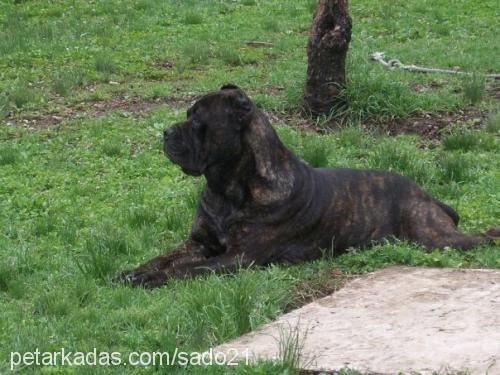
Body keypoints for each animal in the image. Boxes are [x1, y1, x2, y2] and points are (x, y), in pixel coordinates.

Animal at [116, 85, 496, 290]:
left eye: (198, 122)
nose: (166, 132)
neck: (229, 188)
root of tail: (427, 195)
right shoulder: (199, 243)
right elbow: (162, 258)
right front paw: (134, 273)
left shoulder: (239, 257)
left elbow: (186, 269)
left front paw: (153, 279)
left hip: (434, 236)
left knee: (478, 237)